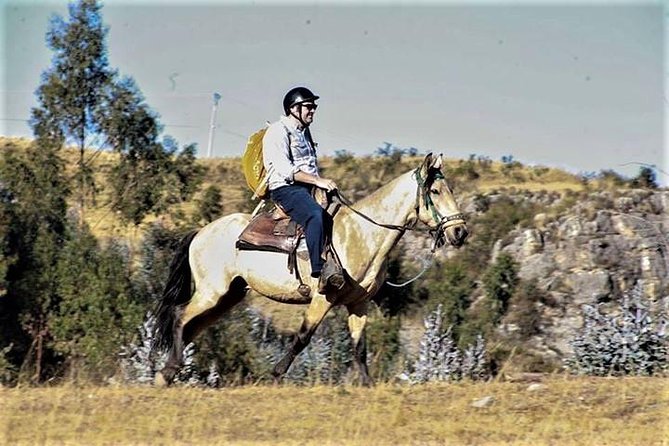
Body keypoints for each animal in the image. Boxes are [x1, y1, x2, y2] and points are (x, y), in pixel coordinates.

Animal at [153, 153, 468, 386]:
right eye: (435, 191)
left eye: (451, 190)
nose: (460, 232)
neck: (362, 233)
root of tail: (200, 232)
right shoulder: (323, 298)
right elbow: (303, 337)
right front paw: (276, 374)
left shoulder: (359, 303)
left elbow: (359, 346)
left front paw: (367, 385)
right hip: (211, 292)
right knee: (180, 316)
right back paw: (167, 372)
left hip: (227, 297)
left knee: (192, 325)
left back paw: (170, 371)